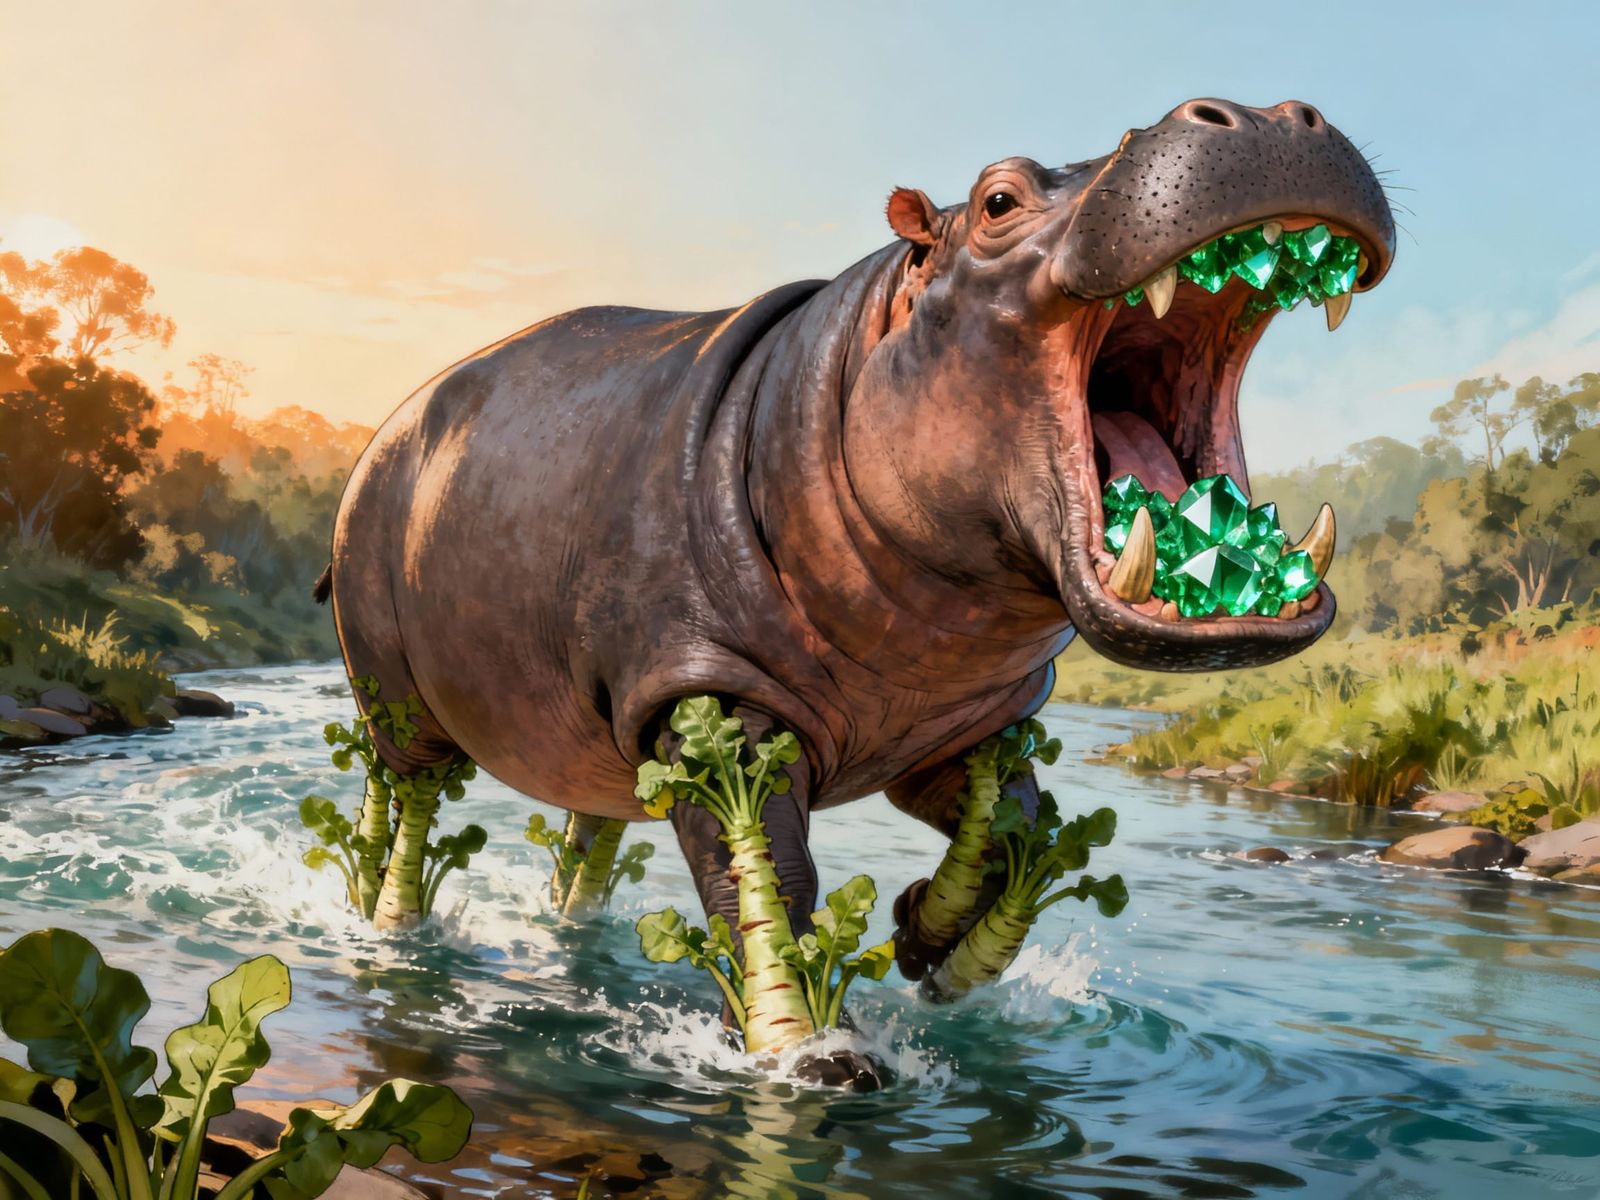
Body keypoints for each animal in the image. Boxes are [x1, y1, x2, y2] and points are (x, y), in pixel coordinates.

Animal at [322, 97, 1393, 1077]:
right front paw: (815, 1058)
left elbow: (1017, 825)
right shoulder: (718, 707)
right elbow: (769, 879)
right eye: (998, 199)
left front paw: (928, 941)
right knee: (404, 806)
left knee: (587, 832)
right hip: (400, 698)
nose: (1262, 115)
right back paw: (389, 929)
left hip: (605, 732)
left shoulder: (962, 726)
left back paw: (564, 932)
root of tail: (386, 429)